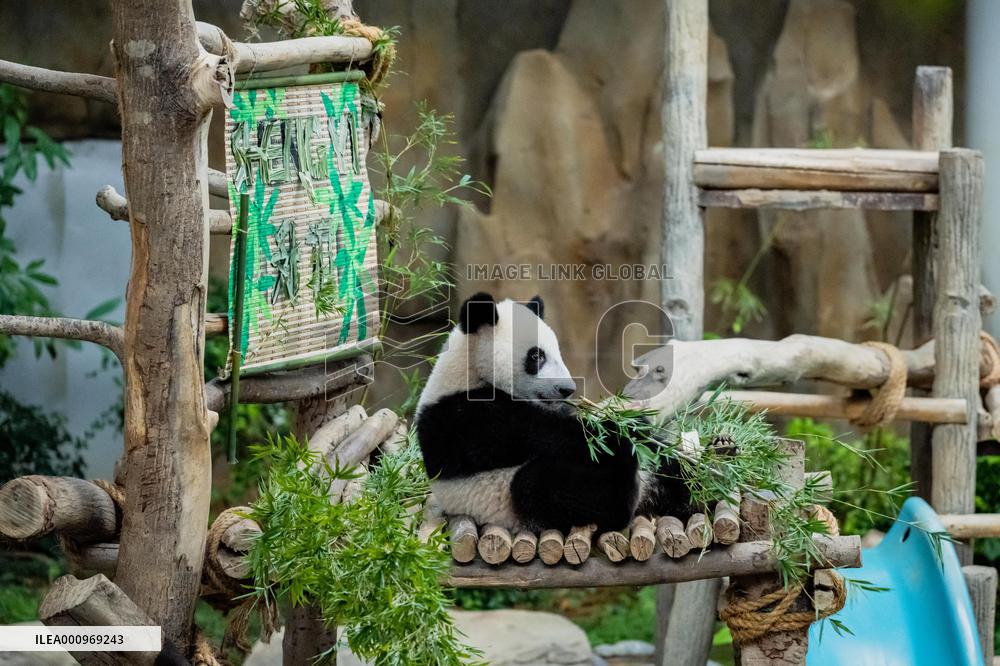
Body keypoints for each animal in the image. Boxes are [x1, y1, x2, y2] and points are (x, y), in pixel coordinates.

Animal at [414, 291, 694, 534]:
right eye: (536, 356)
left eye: (557, 352)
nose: (567, 389)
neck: (469, 370)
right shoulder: (464, 416)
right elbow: (543, 434)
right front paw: (612, 435)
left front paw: (632, 423)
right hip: (503, 496)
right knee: (541, 484)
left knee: (673, 468)